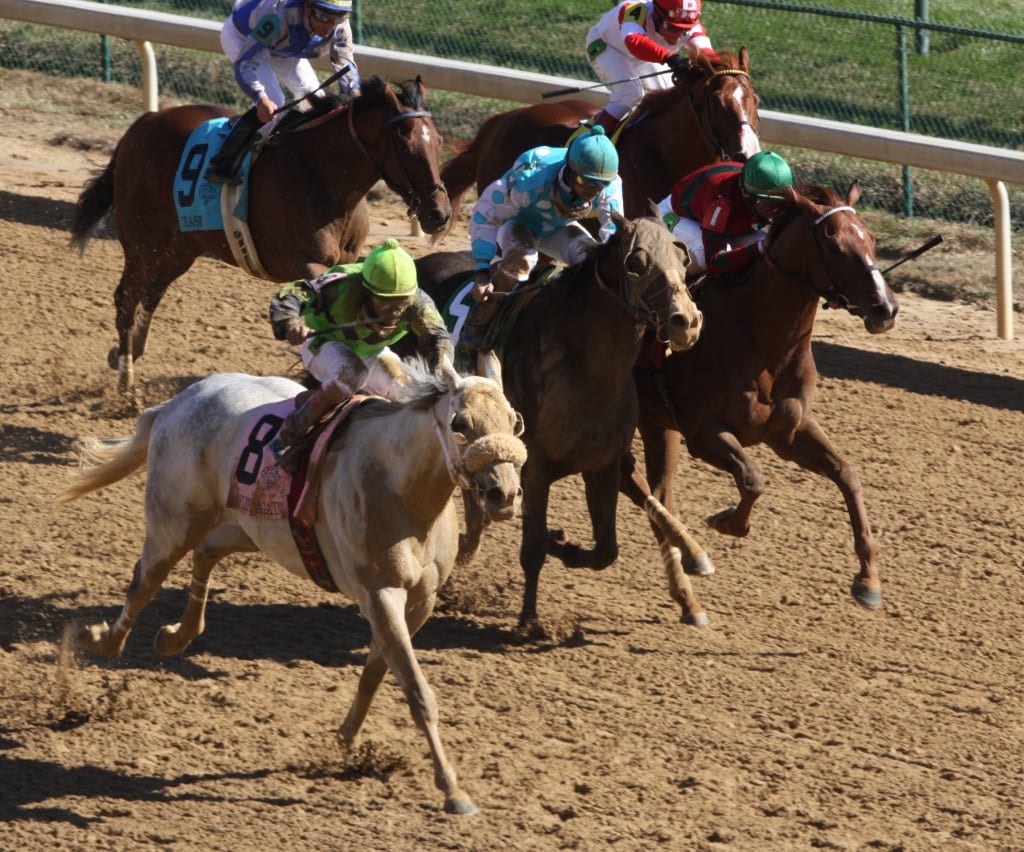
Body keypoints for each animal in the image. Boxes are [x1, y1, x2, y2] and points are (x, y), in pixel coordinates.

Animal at [54, 358, 528, 811]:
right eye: (459, 423)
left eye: (514, 420)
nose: (504, 494)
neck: (399, 485)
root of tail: (174, 404)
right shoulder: (380, 594)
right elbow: (415, 689)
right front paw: (453, 790)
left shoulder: (421, 601)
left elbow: (376, 671)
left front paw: (346, 738)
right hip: (174, 521)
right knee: (145, 580)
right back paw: (102, 640)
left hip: (247, 528)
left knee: (205, 553)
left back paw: (176, 636)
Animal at [70, 74, 450, 391]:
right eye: (405, 143)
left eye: (438, 140)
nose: (439, 214)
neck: (323, 175)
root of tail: (143, 123)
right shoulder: (308, 262)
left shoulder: (352, 259)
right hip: (142, 239)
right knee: (126, 296)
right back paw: (126, 376)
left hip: (182, 245)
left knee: (152, 292)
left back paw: (130, 351)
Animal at [415, 213, 704, 634]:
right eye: (636, 263)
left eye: (683, 259)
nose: (687, 321)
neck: (588, 367)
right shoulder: (533, 467)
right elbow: (533, 547)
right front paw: (528, 620)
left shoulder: (602, 465)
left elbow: (605, 550)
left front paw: (562, 544)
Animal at [614, 180, 897, 622]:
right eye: (834, 244)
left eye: (871, 238)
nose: (885, 308)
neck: (760, 337)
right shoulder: (705, 433)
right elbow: (752, 479)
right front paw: (728, 521)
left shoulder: (788, 430)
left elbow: (847, 474)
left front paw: (868, 579)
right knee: (634, 484)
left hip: (657, 424)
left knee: (654, 490)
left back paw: (690, 561)